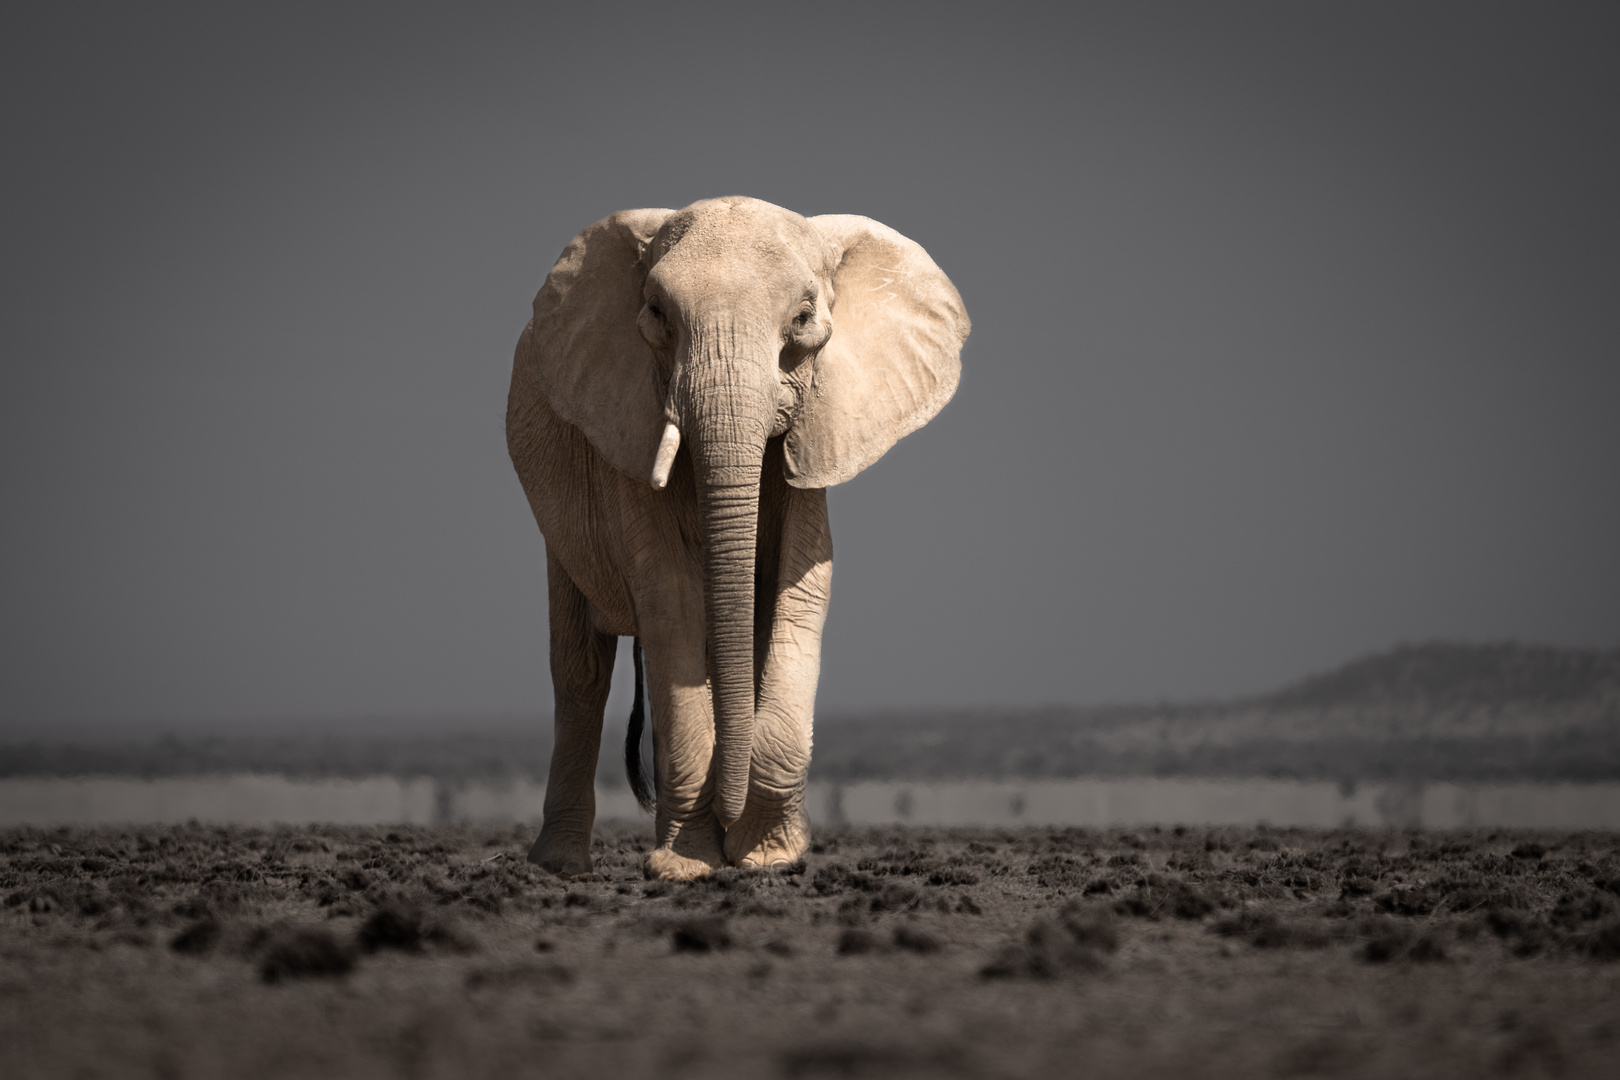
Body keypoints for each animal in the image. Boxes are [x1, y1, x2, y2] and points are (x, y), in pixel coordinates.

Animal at [508, 198, 959, 880]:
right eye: (656, 314)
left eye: (802, 318)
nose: (730, 824)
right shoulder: (628, 422)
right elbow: (671, 600)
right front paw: (687, 868)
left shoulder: (818, 429)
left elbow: (800, 591)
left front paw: (767, 858)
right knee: (581, 666)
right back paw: (561, 867)